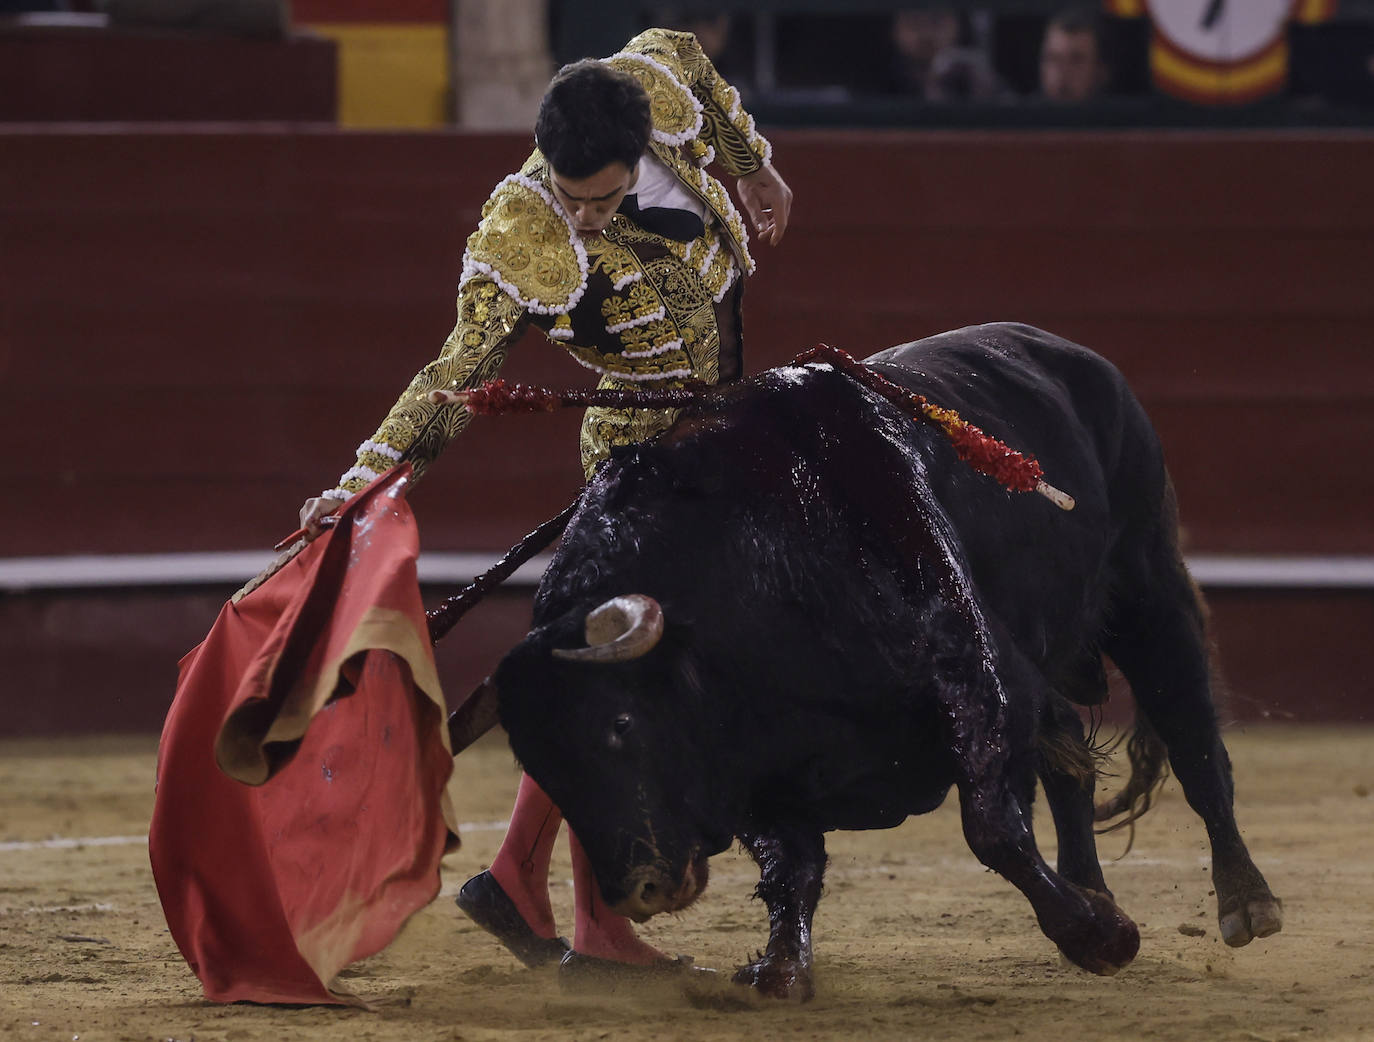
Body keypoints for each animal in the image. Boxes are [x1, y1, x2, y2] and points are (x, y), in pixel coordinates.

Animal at [458, 324, 1275, 1006]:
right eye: (540, 763)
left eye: (622, 723)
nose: (640, 889)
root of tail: (1070, 354)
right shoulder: (749, 766)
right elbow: (790, 868)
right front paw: (779, 970)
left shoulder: (977, 678)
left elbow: (993, 830)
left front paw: (1103, 938)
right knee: (1070, 754)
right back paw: (1095, 888)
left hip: (1150, 589)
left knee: (1194, 743)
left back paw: (1245, 901)